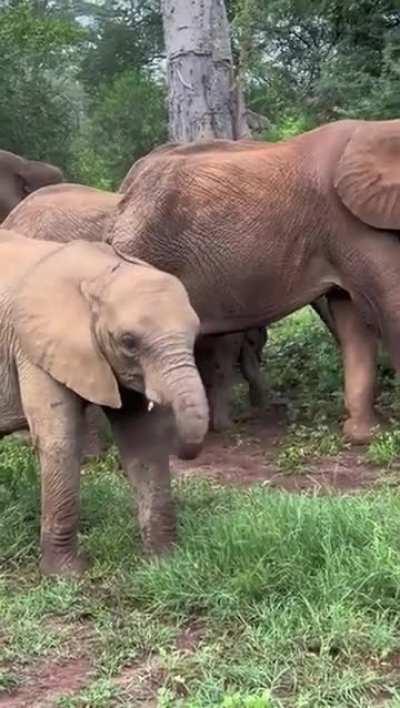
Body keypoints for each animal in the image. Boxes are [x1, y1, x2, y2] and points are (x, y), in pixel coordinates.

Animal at [0, 229, 208, 575]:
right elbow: (60, 441)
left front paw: (164, 561)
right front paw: (67, 574)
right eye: (128, 341)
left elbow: (142, 440)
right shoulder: (32, 347)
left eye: (195, 334)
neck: (100, 272)